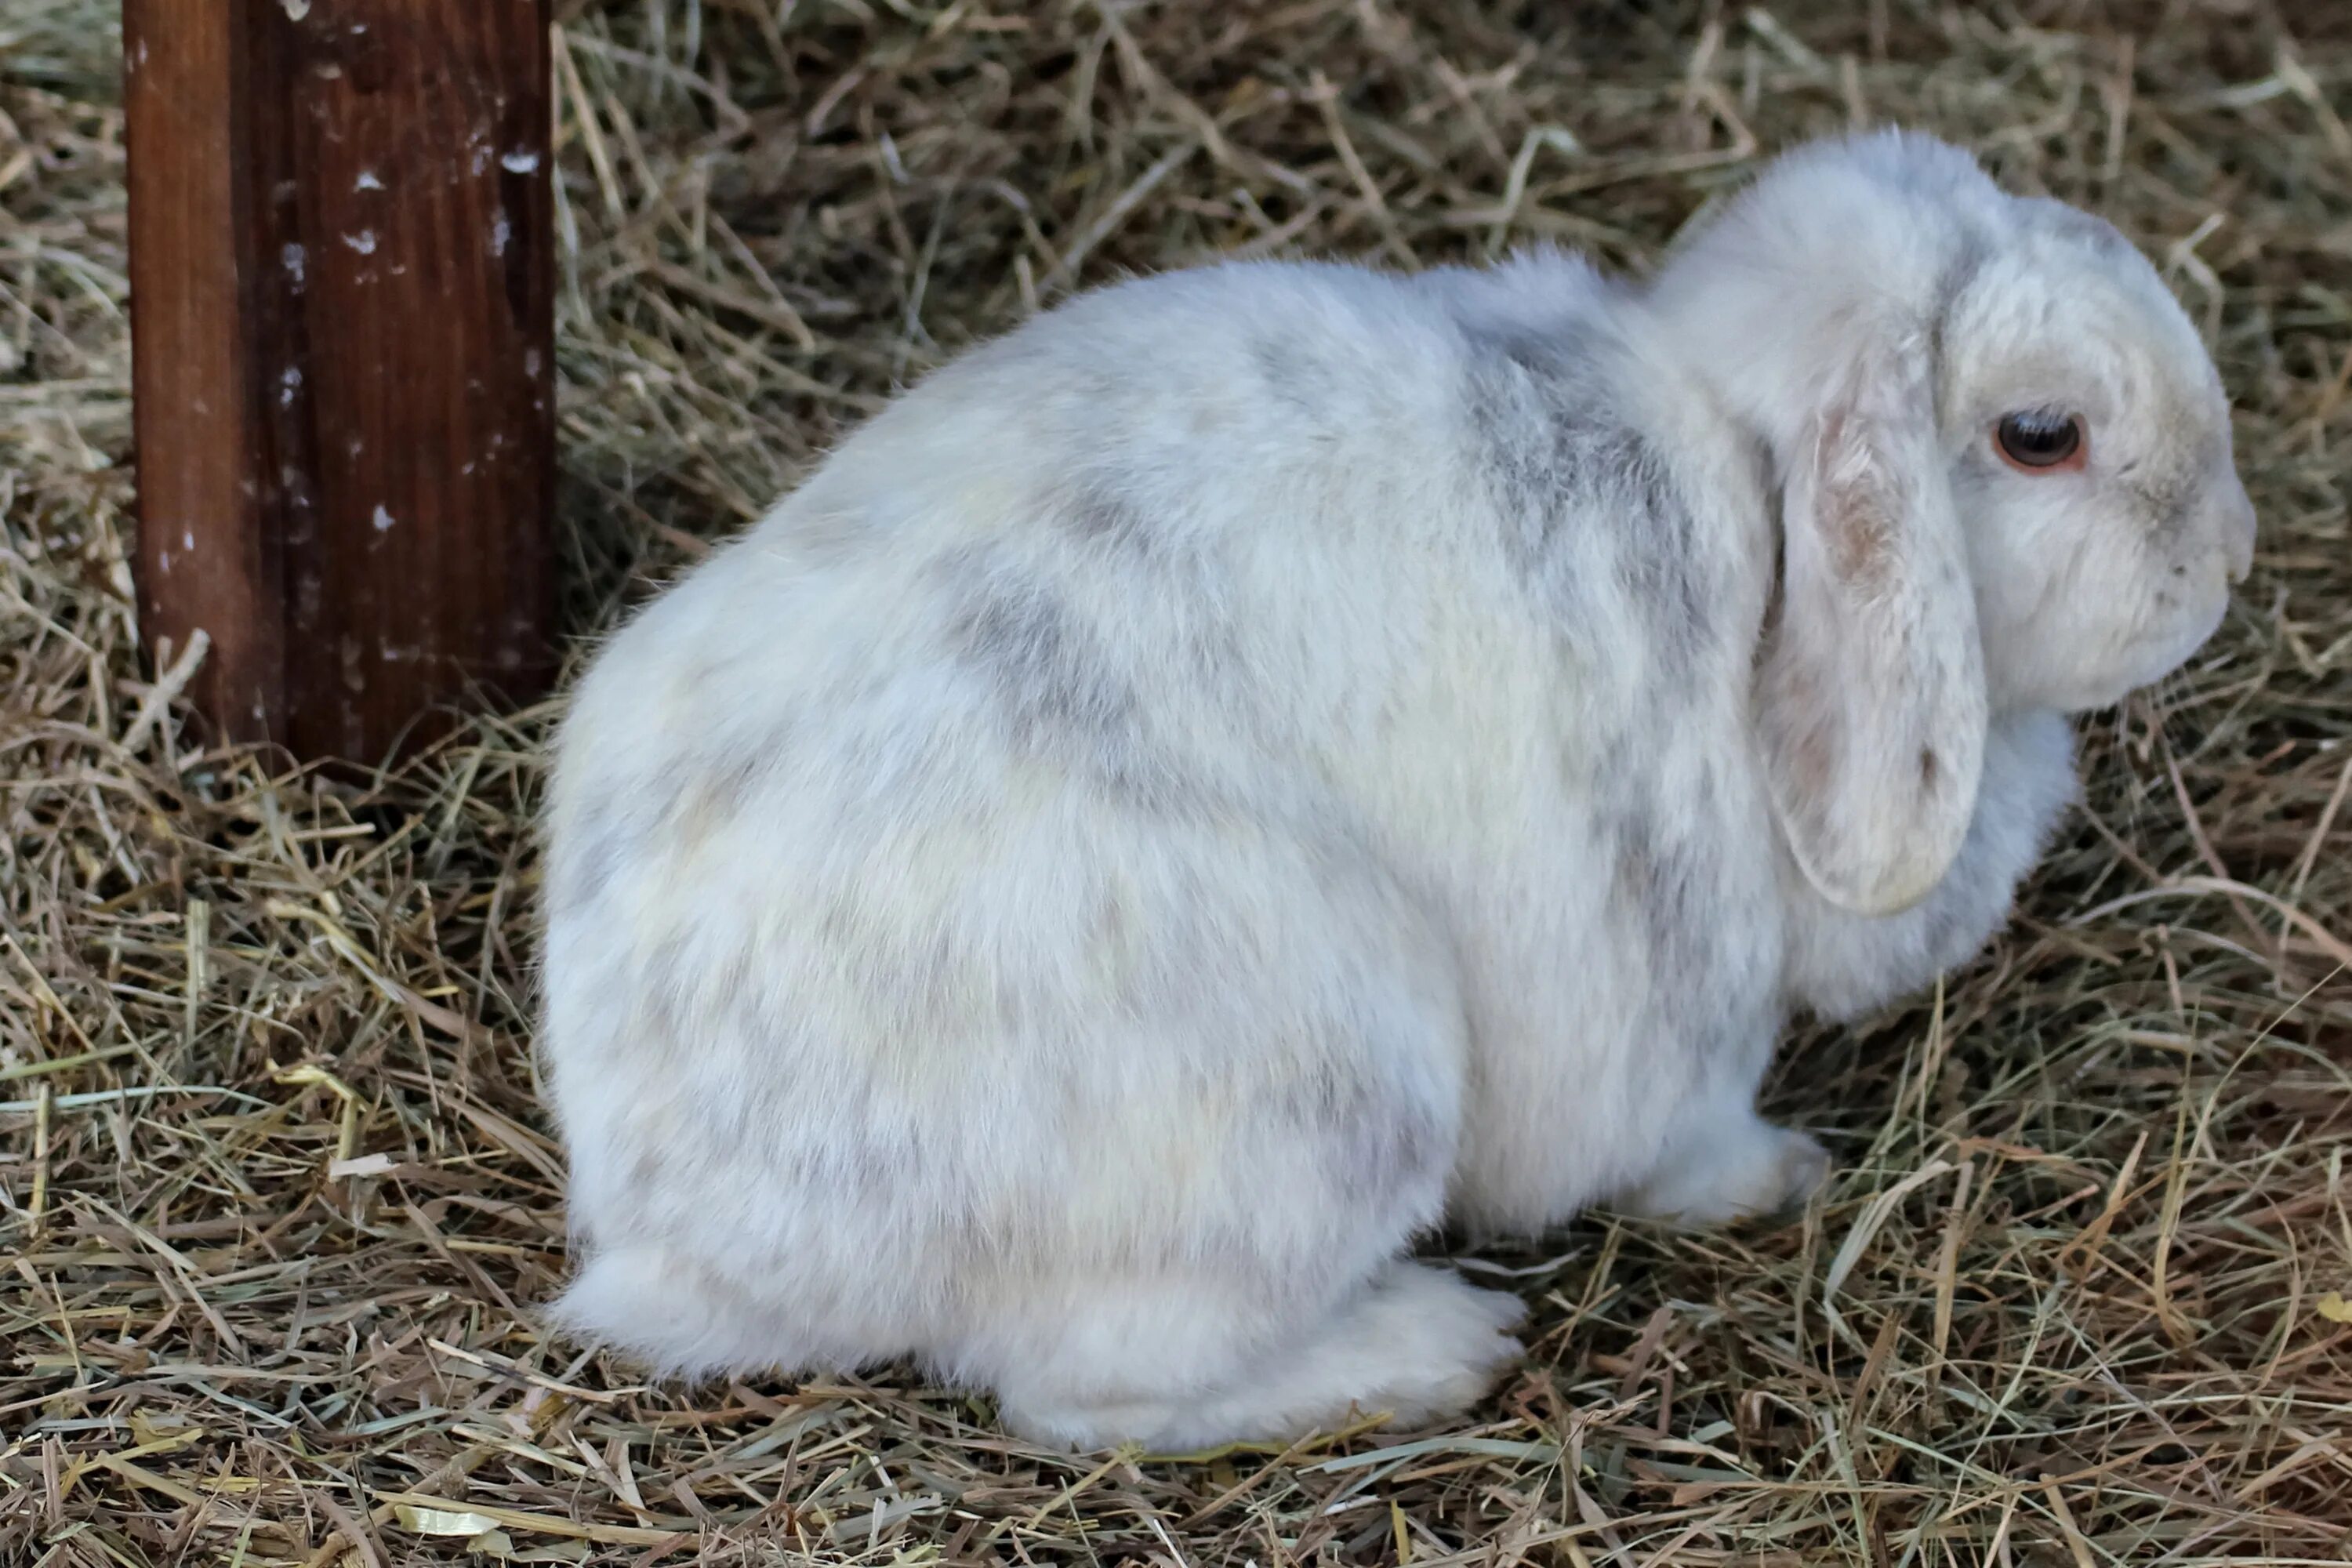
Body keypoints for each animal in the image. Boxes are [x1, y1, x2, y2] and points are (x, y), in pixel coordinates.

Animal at [539, 129, 2258, 1457]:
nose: (2229, 552)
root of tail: (677, 1216)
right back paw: (1436, 1344)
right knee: (1090, 1392)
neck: (1744, 485)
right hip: (1328, 1084)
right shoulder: (1676, 998)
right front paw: (1776, 1180)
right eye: (2040, 435)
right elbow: (1688, 1134)